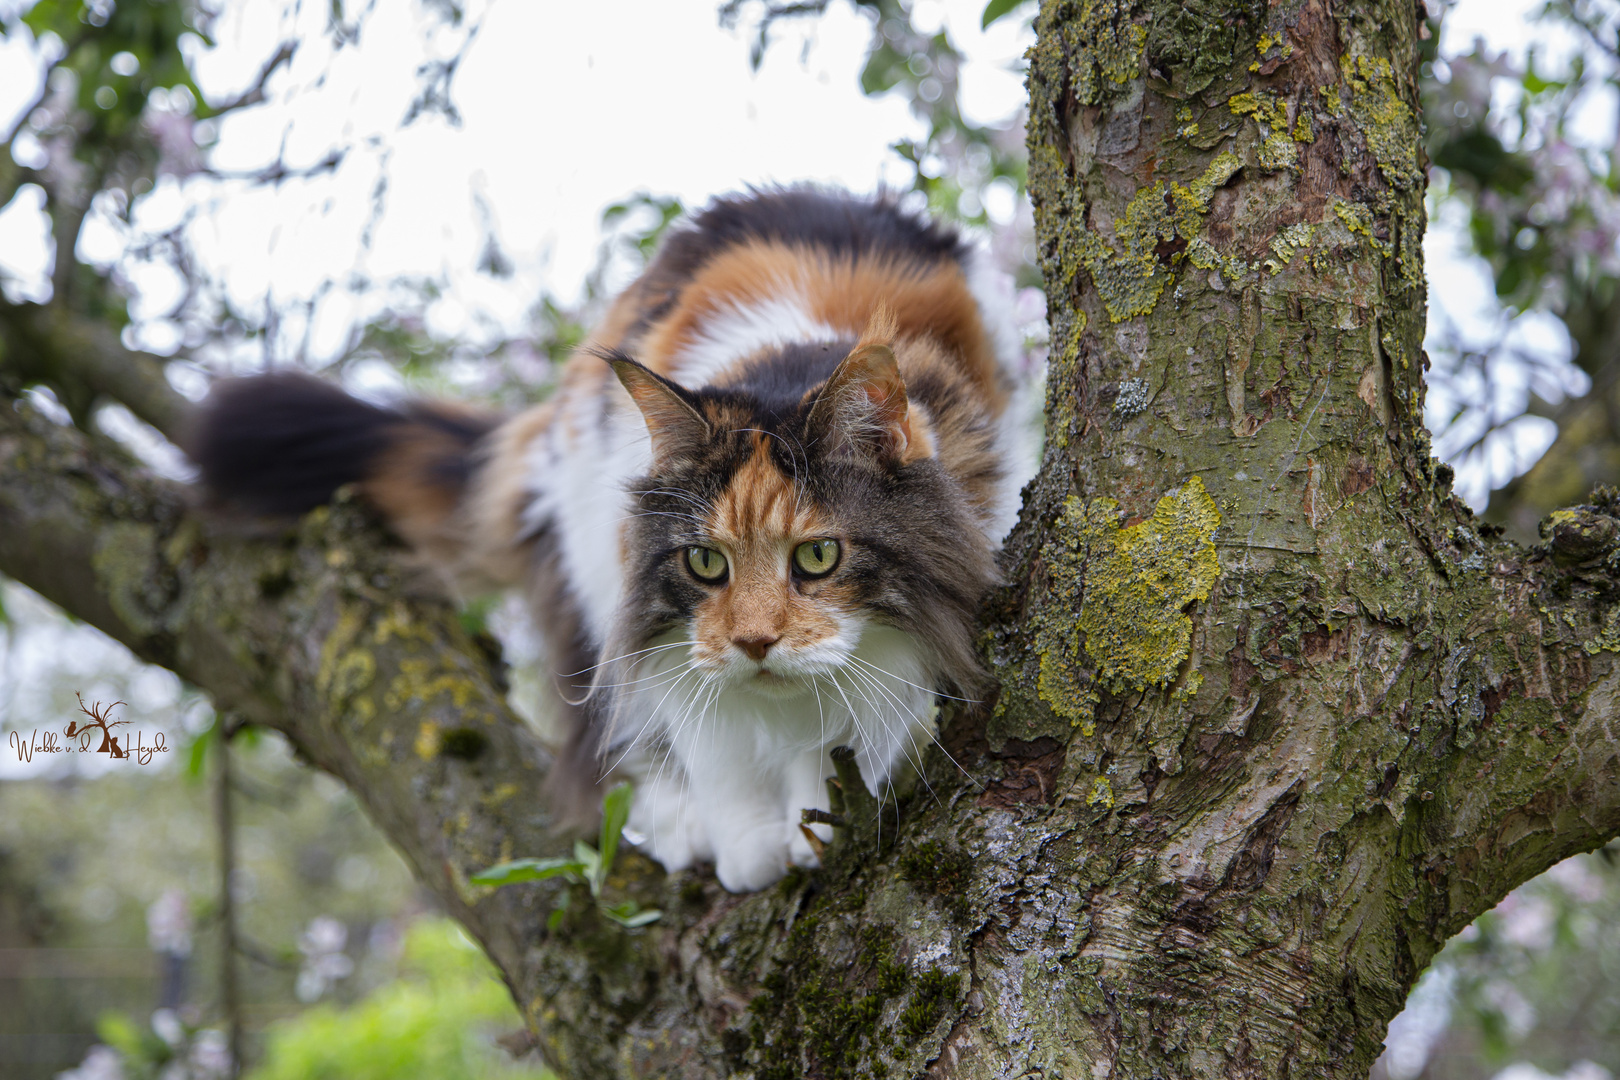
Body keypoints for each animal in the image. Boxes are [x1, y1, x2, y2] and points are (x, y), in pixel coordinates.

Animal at [192, 187, 1036, 893]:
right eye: (706, 562)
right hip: (594, 567)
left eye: (818, 557)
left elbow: (844, 734)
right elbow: (715, 749)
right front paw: (749, 850)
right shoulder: (666, 628)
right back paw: (677, 823)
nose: (754, 643)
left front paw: (816, 819)